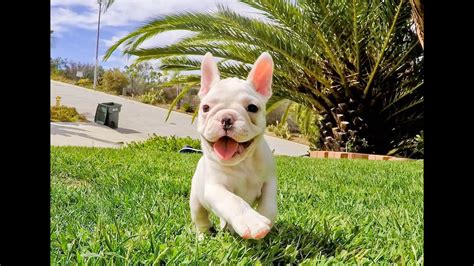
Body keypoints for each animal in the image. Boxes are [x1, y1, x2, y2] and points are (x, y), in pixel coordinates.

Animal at [189, 52, 278, 241]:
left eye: (252, 108)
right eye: (205, 107)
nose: (226, 118)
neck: (243, 163)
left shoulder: (270, 181)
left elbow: (269, 204)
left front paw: (264, 218)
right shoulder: (215, 188)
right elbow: (233, 201)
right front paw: (253, 222)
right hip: (196, 200)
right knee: (200, 219)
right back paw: (202, 237)